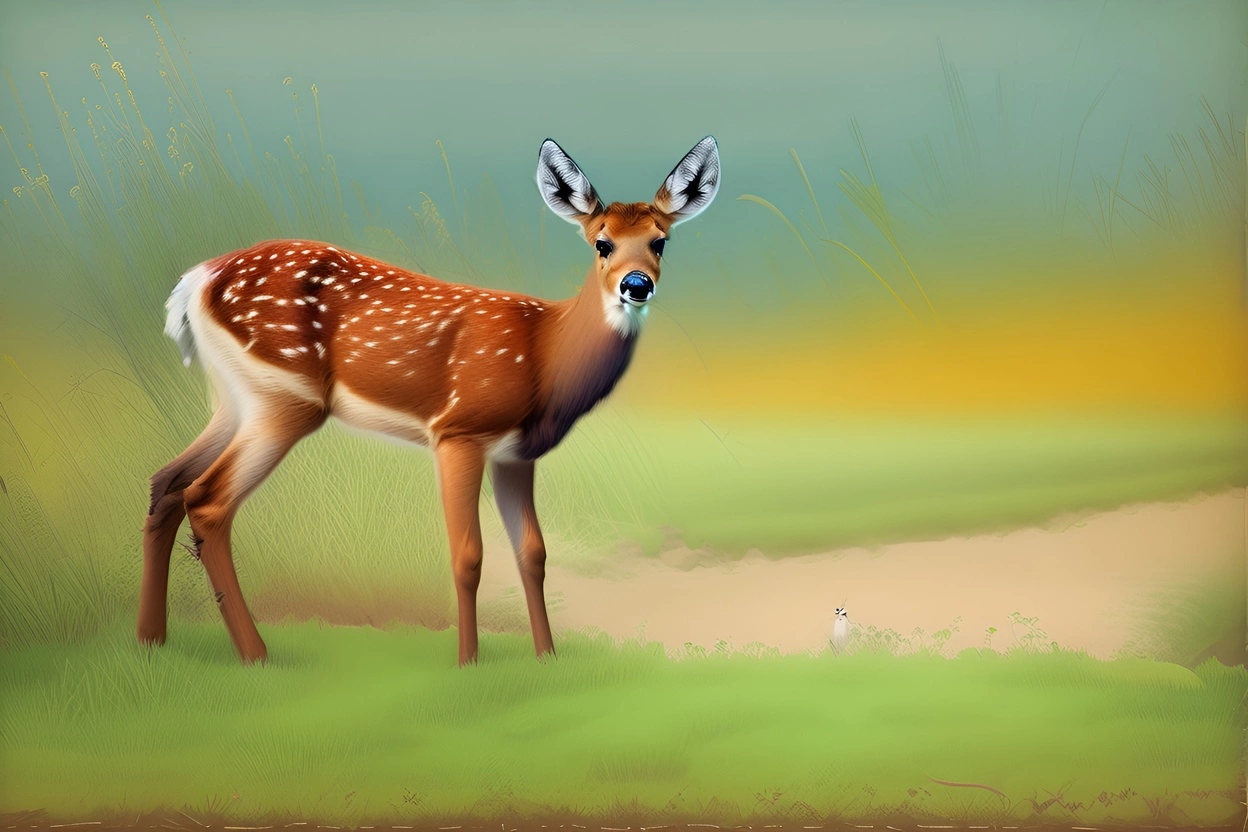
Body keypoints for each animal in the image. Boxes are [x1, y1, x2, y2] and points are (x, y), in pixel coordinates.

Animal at [138, 136, 721, 666]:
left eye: (660, 241)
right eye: (602, 243)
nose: (636, 284)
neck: (544, 356)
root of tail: (194, 281)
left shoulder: (516, 455)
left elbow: (533, 553)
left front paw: (547, 658)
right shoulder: (458, 430)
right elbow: (468, 555)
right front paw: (468, 663)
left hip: (233, 394)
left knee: (166, 481)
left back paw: (151, 640)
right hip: (284, 395)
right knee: (207, 499)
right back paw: (255, 653)